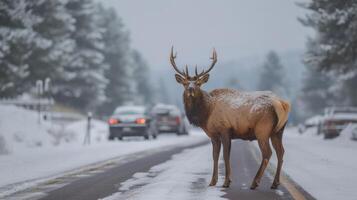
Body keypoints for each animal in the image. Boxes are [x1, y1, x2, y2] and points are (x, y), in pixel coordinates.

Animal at [169, 46, 290, 189]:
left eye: (198, 83)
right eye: (185, 83)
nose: (191, 89)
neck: (206, 114)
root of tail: (281, 104)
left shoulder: (225, 129)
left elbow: (225, 156)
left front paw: (227, 181)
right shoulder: (214, 135)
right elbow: (215, 156)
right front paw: (212, 181)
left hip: (262, 129)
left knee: (268, 153)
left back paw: (255, 182)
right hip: (278, 131)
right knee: (281, 152)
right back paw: (275, 183)